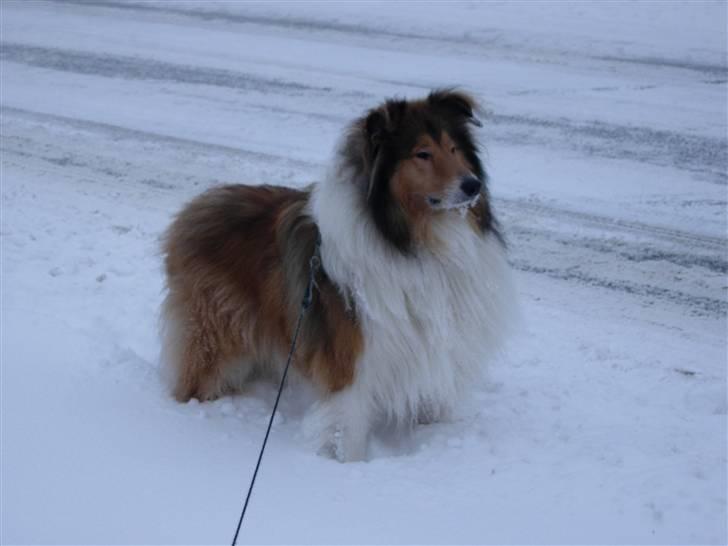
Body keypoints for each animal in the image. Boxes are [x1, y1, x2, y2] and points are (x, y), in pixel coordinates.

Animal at [161, 90, 512, 460]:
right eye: (422, 154)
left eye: (454, 148)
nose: (472, 185)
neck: (412, 239)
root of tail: (193, 209)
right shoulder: (352, 361)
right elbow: (348, 424)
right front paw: (349, 463)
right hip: (216, 338)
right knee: (194, 381)